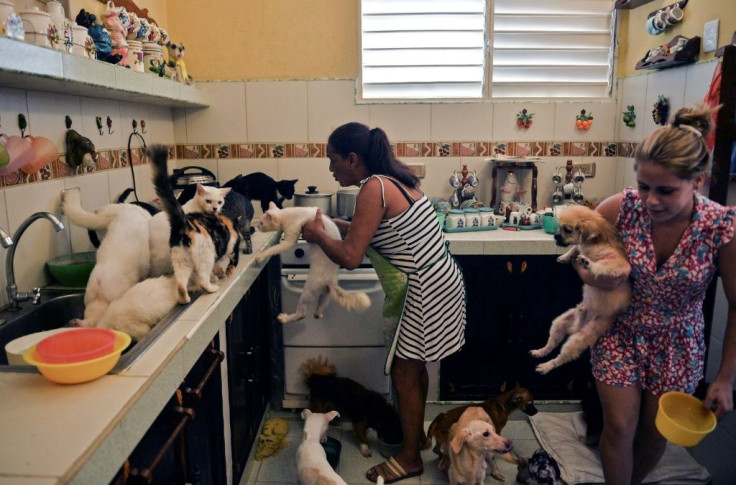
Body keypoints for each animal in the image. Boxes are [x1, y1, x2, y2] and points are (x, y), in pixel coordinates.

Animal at [148, 144, 240, 302]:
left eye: (219, 202)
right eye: (208, 201)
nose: (215, 208)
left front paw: (218, 273)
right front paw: (216, 276)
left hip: (181, 260)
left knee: (181, 281)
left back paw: (185, 296)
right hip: (201, 254)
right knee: (201, 277)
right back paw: (209, 287)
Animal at [528, 204, 632, 374]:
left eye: (568, 230)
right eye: (559, 227)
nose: (555, 236)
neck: (593, 244)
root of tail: (576, 329)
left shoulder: (617, 263)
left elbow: (600, 265)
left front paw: (588, 263)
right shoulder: (581, 247)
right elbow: (575, 247)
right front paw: (565, 257)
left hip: (578, 339)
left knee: (560, 359)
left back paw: (546, 366)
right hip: (558, 323)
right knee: (551, 345)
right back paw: (541, 351)